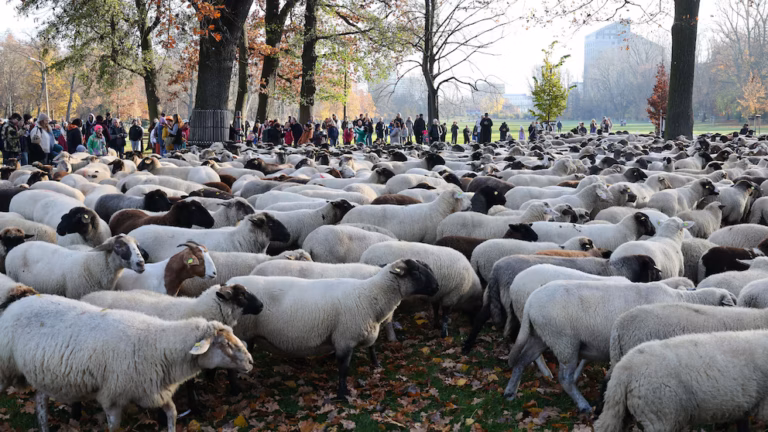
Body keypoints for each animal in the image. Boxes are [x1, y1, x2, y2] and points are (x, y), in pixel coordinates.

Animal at [0, 294, 252, 432]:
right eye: (225, 344)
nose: (250, 362)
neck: (157, 345)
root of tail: (19, 303)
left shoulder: (153, 390)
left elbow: (172, 413)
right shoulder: (112, 396)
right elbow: (114, 427)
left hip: (42, 373)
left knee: (40, 400)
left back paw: (44, 426)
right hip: (5, 367)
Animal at [230, 259, 439, 398]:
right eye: (417, 273)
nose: (437, 287)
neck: (370, 295)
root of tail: (230, 282)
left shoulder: (363, 330)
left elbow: (372, 348)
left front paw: (376, 365)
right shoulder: (345, 338)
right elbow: (343, 369)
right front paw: (342, 394)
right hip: (241, 334)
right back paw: (236, 390)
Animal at [462, 254, 662, 355]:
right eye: (653, 270)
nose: (662, 279)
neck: (615, 268)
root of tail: (496, 269)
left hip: (492, 296)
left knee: (480, 318)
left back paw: (467, 347)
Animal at [503, 280, 737, 412]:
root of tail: (531, 302)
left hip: (541, 336)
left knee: (522, 361)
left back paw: (510, 392)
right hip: (564, 341)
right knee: (565, 378)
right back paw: (583, 405)